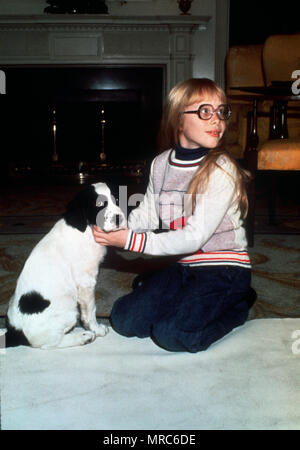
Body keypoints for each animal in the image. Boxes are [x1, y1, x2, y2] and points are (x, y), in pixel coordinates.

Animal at [5, 182, 125, 348]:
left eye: (117, 199)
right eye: (99, 205)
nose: (119, 218)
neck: (86, 228)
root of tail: (15, 332)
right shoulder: (86, 282)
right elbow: (91, 310)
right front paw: (97, 329)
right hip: (69, 309)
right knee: (52, 343)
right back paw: (83, 337)